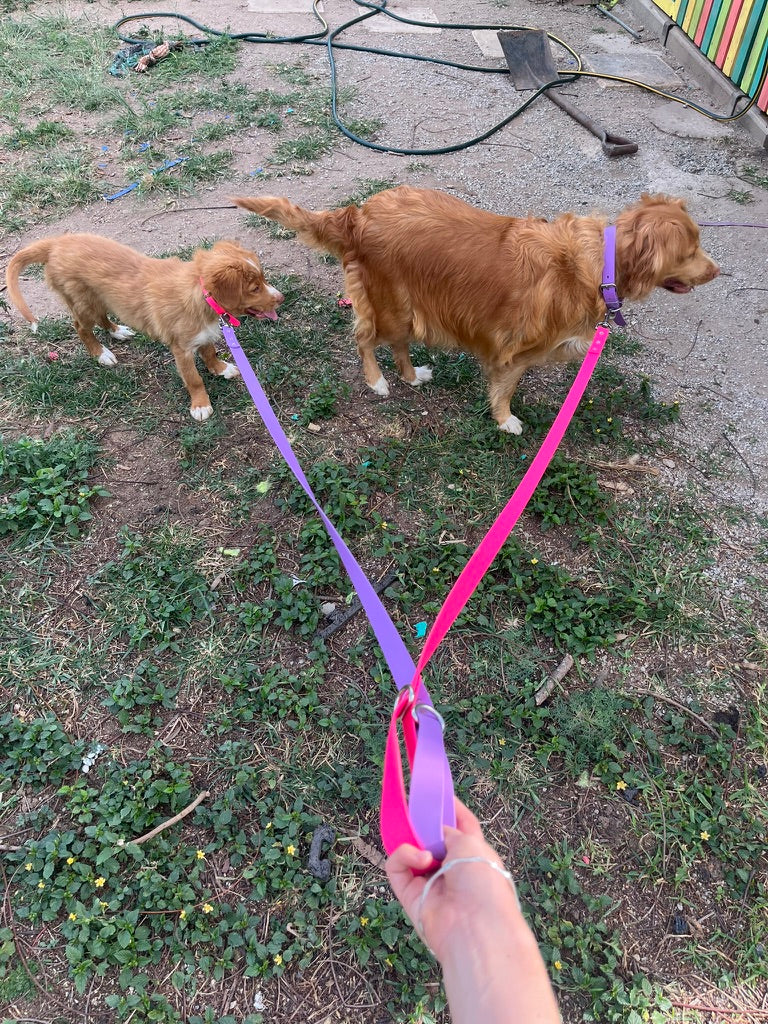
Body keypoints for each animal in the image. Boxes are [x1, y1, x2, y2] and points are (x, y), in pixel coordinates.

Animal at [5, 234, 284, 421]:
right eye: (255, 288)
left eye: (263, 279)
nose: (280, 298)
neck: (200, 294)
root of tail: (56, 243)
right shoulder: (181, 349)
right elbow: (193, 379)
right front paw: (200, 405)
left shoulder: (202, 334)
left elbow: (209, 352)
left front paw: (220, 368)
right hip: (85, 303)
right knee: (81, 328)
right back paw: (101, 354)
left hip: (101, 298)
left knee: (103, 317)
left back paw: (117, 331)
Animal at [232, 187, 719, 433]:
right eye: (690, 251)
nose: (717, 271)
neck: (600, 261)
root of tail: (359, 214)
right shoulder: (513, 351)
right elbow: (504, 389)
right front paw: (505, 421)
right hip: (391, 303)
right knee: (368, 340)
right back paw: (378, 382)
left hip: (407, 307)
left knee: (398, 345)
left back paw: (412, 376)